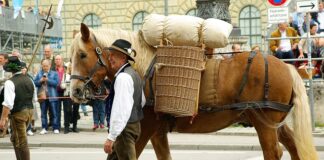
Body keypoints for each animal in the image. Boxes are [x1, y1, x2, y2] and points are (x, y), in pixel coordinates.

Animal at [69, 23, 318, 160]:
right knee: (294, 148)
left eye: (82, 55)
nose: (75, 91)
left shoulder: (145, 129)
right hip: (277, 124)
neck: (145, 69)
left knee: (273, 153)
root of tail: (285, 66)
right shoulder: (157, 132)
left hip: (264, 124)